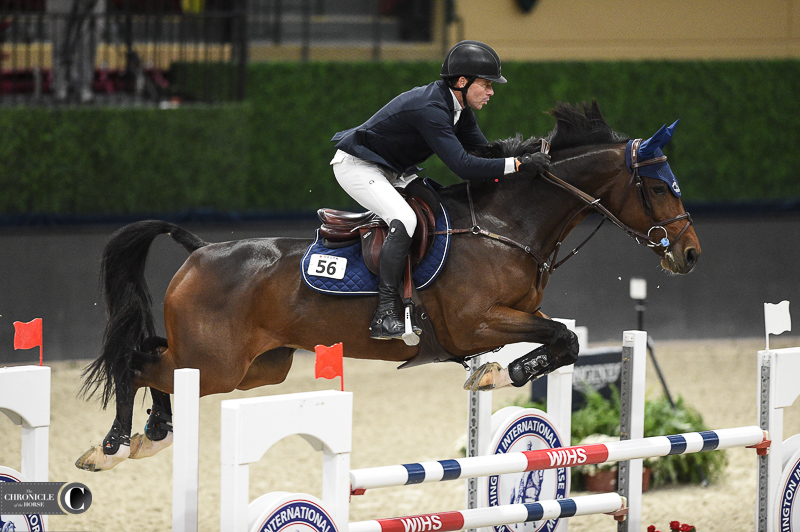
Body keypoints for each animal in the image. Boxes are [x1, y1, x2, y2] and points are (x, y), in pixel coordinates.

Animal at [76, 102, 700, 472]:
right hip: (219, 363)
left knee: (159, 364)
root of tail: (199, 250)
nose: (690, 255)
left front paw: (495, 374)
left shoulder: (511, 318)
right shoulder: (474, 322)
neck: (507, 226)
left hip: (256, 366)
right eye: (659, 188)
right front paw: (496, 375)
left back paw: (152, 434)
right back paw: (109, 448)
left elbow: (562, 341)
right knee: (137, 363)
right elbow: (562, 341)